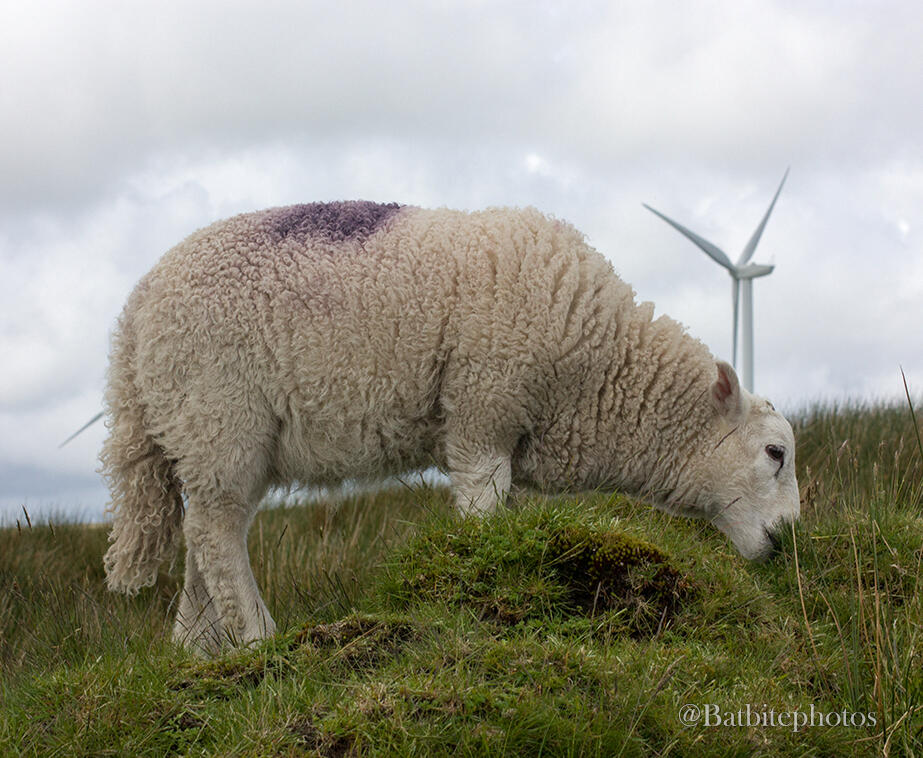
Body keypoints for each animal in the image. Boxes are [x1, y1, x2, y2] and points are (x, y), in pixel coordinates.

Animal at [100, 201, 800, 653]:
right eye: (775, 452)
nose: (790, 540)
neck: (596, 365)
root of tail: (134, 313)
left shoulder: (504, 432)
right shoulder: (485, 413)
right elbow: (483, 520)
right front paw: (479, 596)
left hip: (206, 434)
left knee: (205, 536)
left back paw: (196, 651)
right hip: (219, 416)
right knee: (216, 533)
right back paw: (254, 640)